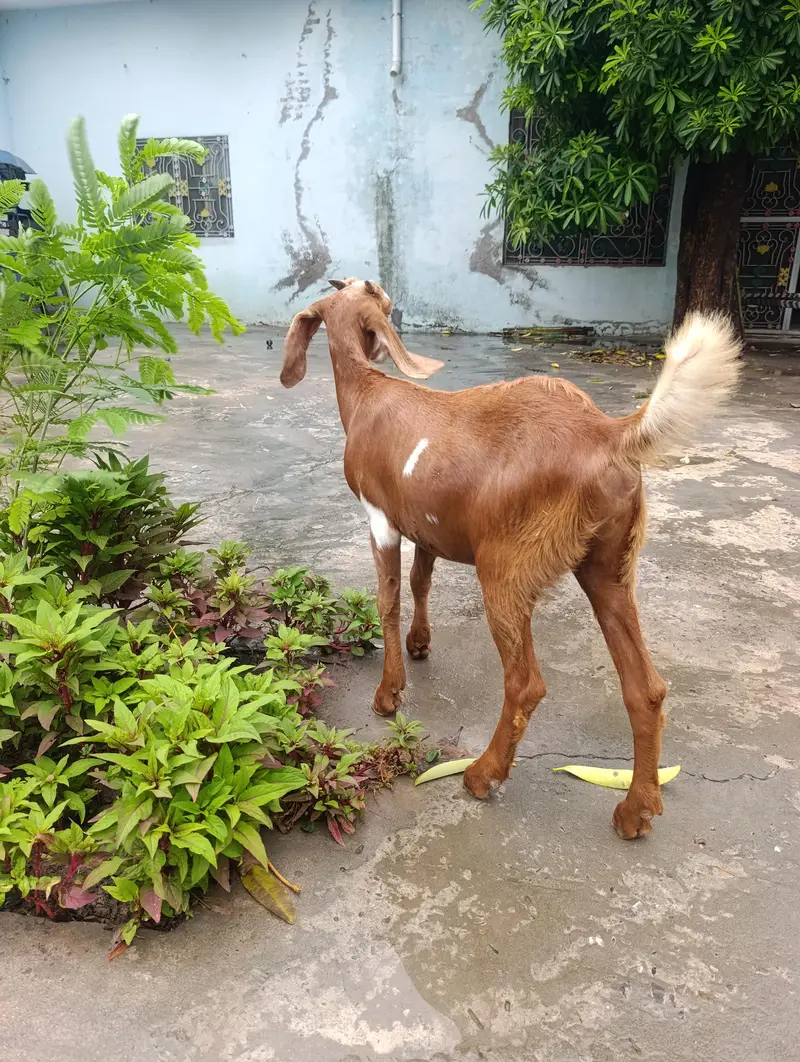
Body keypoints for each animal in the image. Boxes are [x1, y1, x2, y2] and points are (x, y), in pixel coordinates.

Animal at [281, 277, 741, 839]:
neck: (367, 392)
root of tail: (609, 434)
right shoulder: (426, 523)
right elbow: (420, 580)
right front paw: (420, 643)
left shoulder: (381, 517)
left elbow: (387, 597)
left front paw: (389, 693)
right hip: (609, 562)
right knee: (645, 687)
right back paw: (636, 810)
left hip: (507, 565)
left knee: (524, 684)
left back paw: (483, 775)